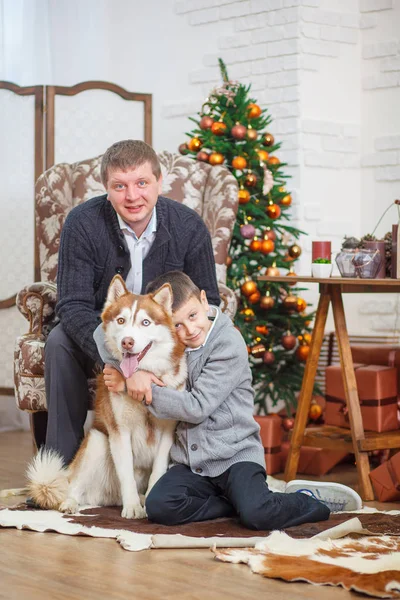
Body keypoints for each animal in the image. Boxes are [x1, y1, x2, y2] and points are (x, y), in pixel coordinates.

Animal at [28, 274, 188, 516]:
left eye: (146, 322)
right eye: (121, 321)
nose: (127, 342)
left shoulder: (168, 431)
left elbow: (158, 470)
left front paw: (149, 500)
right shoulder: (119, 431)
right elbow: (127, 474)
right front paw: (132, 508)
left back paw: (141, 498)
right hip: (97, 441)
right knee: (73, 487)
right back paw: (70, 503)